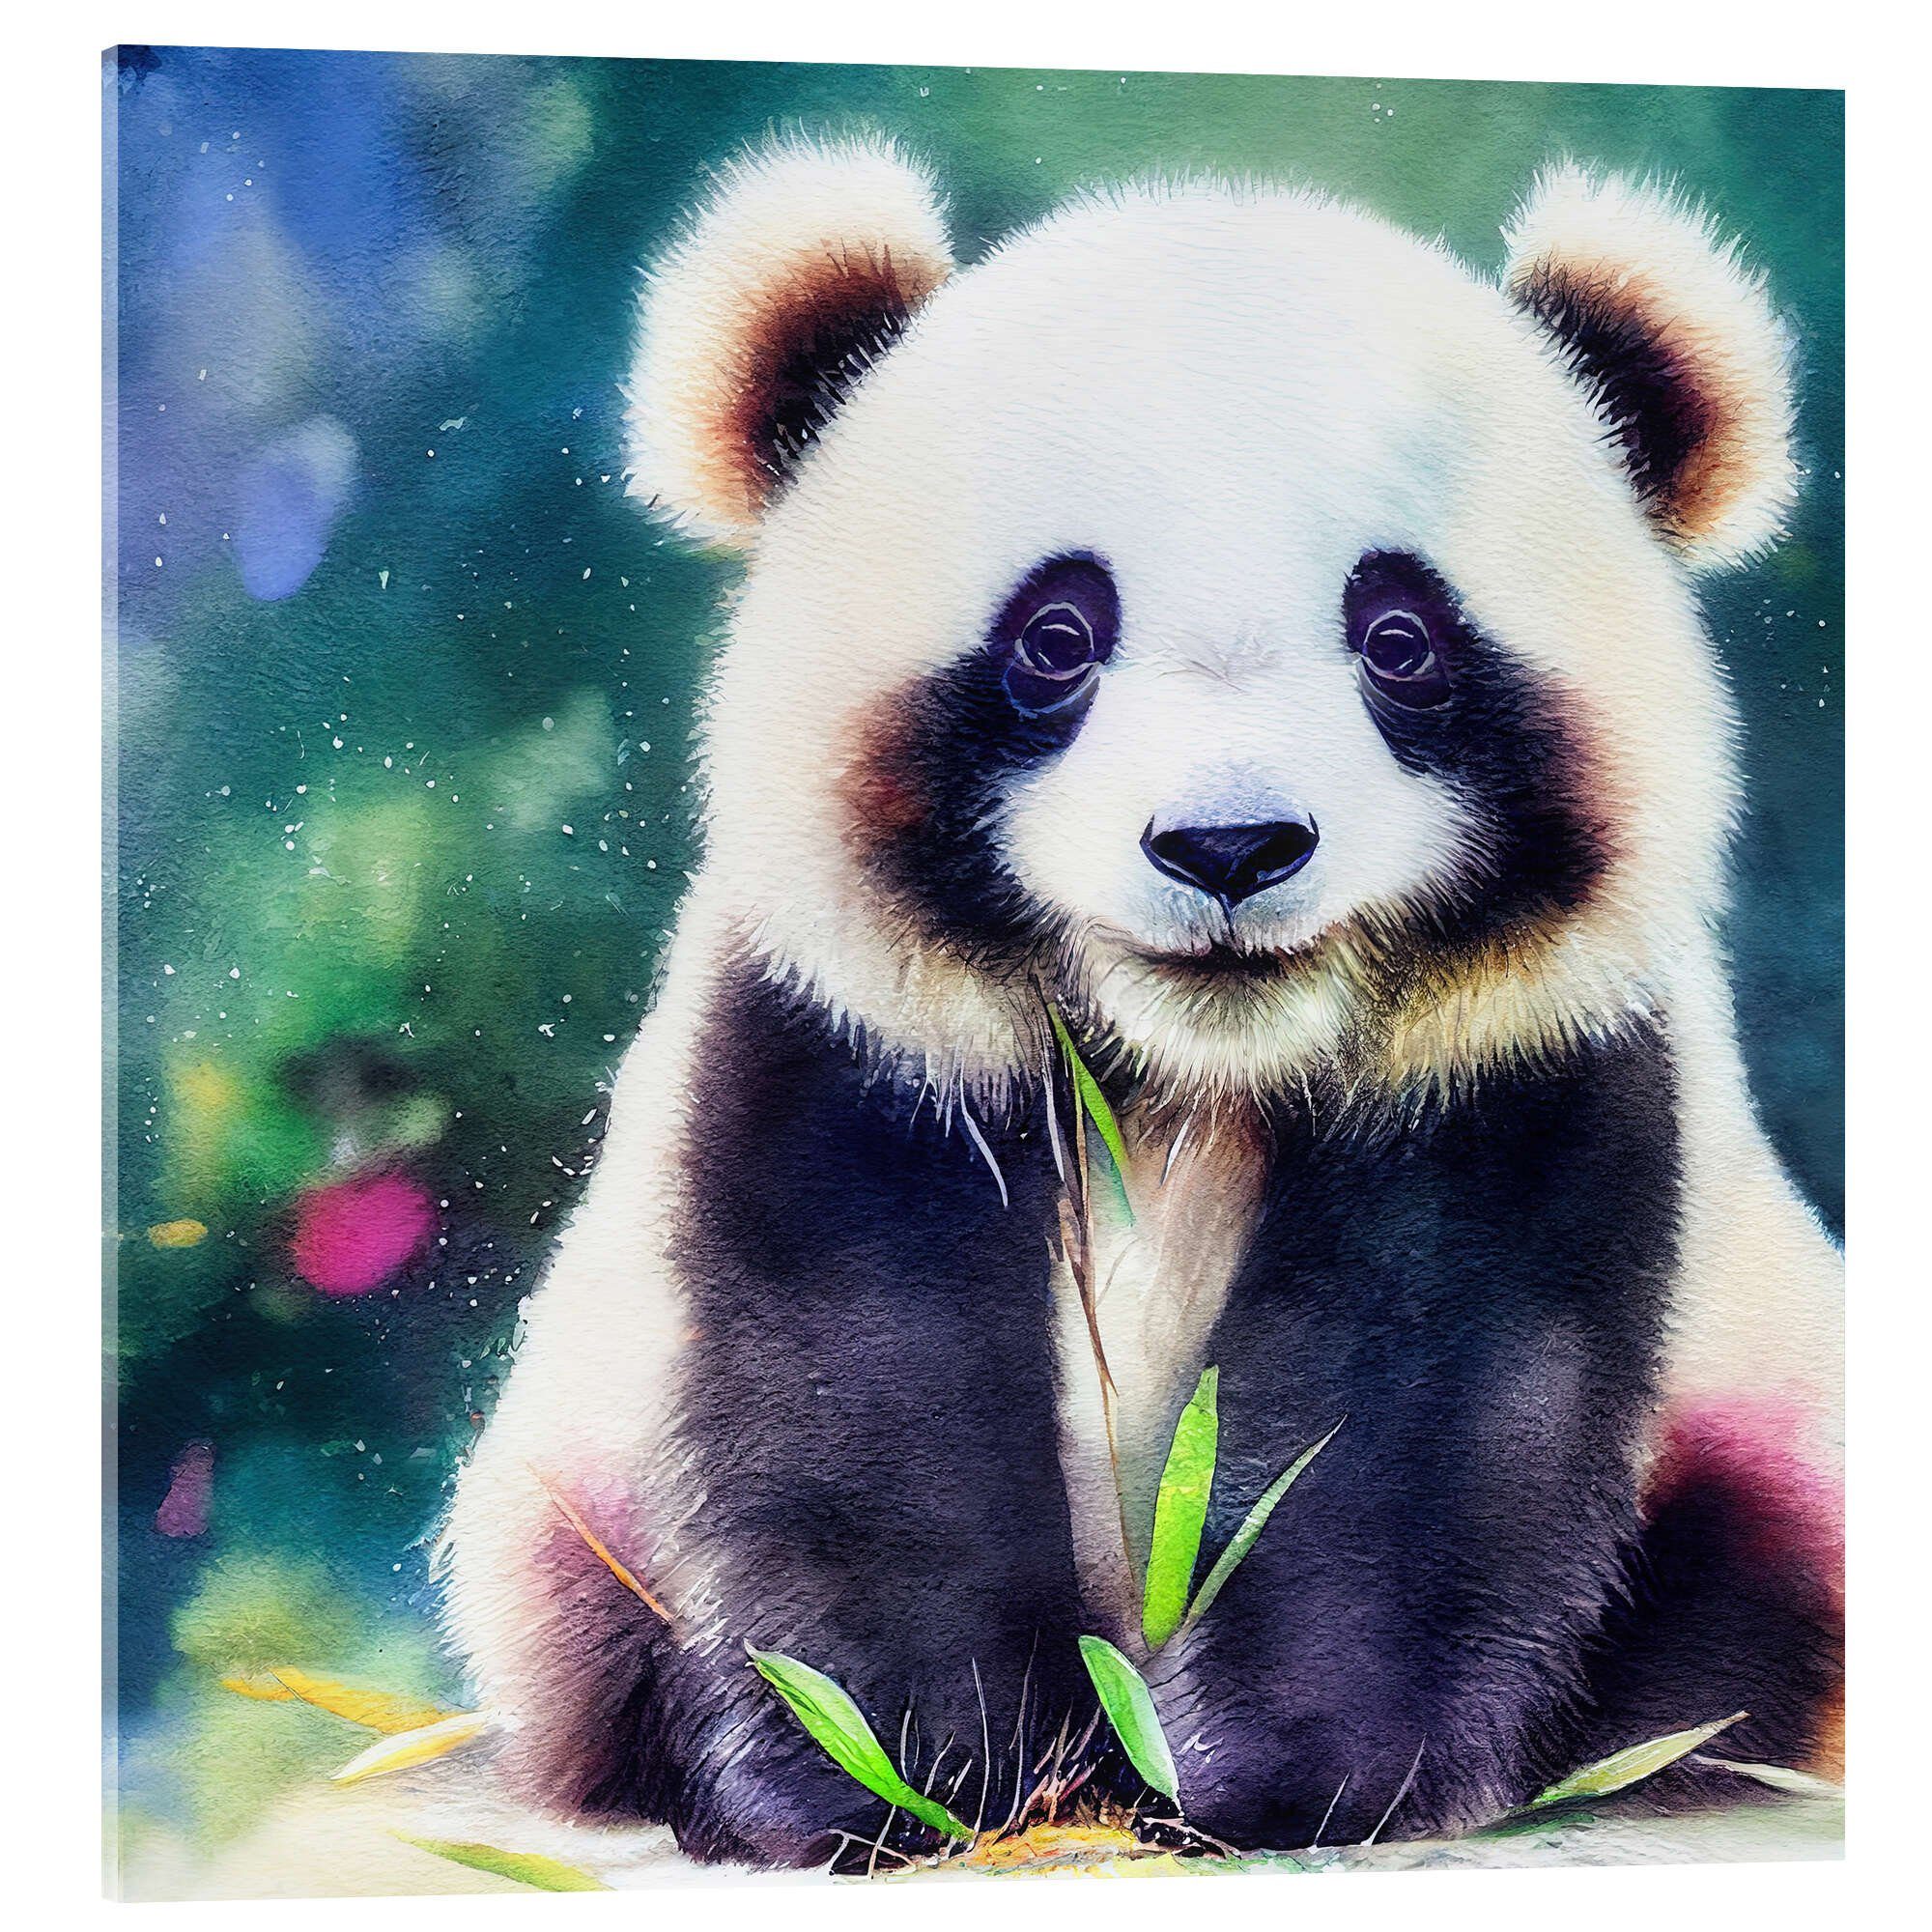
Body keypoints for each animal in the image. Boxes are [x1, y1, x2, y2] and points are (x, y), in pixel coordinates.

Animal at [441, 136, 1843, 1867]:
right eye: (1059, 636)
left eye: (1400, 639)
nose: (1229, 848)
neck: (1184, 1076)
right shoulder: (829, 1038)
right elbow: (851, 1390)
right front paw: (905, 1781)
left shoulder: (1531, 1070)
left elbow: (1418, 1417)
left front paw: (1286, 1780)